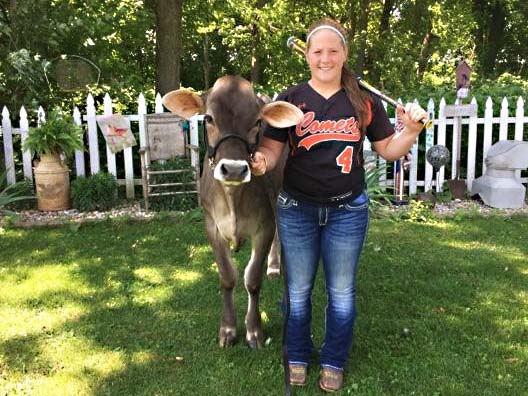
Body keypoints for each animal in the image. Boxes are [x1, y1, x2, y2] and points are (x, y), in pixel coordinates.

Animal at [162, 76, 302, 348]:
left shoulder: (263, 226)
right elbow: (227, 277)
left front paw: (254, 331)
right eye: (208, 118)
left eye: (257, 122)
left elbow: (252, 279)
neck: (232, 199)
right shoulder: (211, 227)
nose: (235, 169)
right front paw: (227, 329)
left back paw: (274, 267)